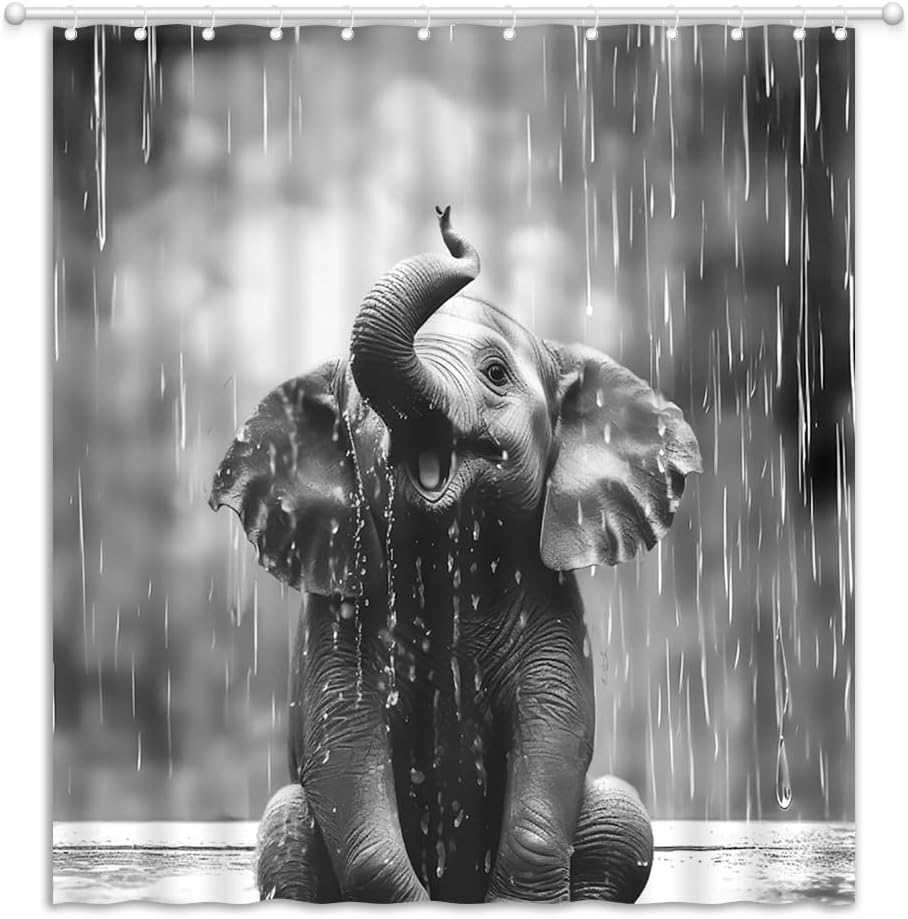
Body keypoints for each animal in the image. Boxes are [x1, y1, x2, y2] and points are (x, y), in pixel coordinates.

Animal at [210, 207, 701, 903]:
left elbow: (553, 723)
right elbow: (344, 738)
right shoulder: (339, 609)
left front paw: (518, 905)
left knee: (621, 810)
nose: (447, 223)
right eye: (363, 403)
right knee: (286, 819)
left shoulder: (551, 608)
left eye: (496, 374)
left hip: (615, 811)